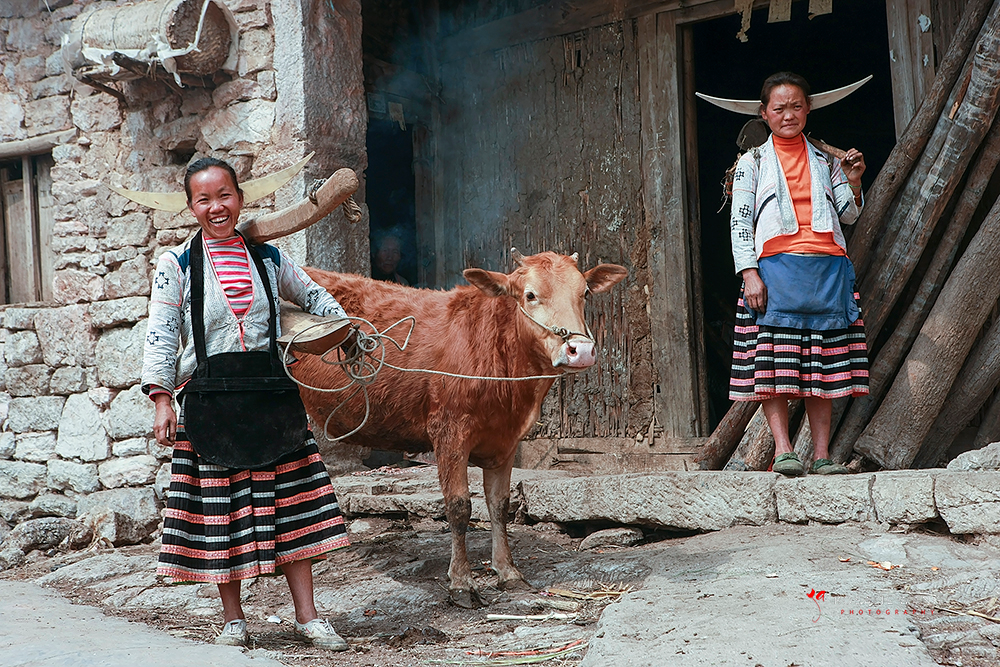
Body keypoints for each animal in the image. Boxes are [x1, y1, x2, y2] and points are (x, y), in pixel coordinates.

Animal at [292, 250, 628, 607]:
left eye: (585, 293)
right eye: (530, 295)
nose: (582, 351)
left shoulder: (507, 439)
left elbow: (499, 504)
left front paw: (508, 571)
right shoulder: (449, 431)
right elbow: (458, 507)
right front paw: (462, 583)